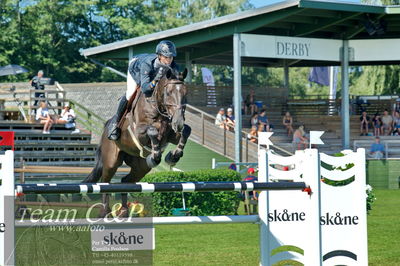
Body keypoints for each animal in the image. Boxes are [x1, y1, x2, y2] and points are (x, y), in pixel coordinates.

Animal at [83, 68, 191, 216]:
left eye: (185, 92)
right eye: (168, 92)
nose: (178, 121)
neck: (157, 108)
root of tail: (104, 131)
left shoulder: (171, 134)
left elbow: (186, 131)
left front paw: (173, 156)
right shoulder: (139, 132)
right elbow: (152, 131)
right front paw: (156, 156)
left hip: (140, 167)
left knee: (125, 182)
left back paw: (123, 211)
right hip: (111, 162)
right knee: (105, 182)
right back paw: (105, 212)